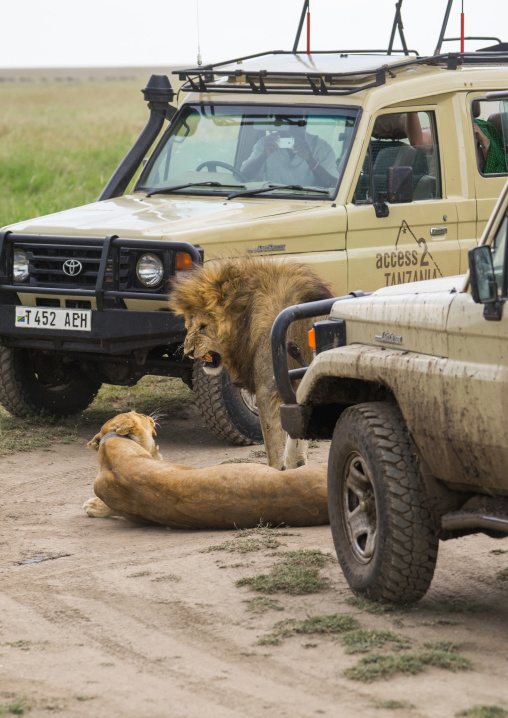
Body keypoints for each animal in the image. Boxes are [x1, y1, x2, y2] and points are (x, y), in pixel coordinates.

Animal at [168, 256, 332, 469]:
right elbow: (295, 444)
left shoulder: (267, 391)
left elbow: (274, 449)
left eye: (203, 327)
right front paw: (297, 467)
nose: (187, 351)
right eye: (188, 325)